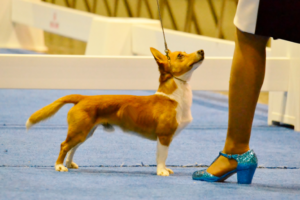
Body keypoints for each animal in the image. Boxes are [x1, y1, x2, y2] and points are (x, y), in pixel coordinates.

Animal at [26, 47, 204, 176]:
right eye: (180, 56)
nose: (201, 51)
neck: (174, 96)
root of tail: (83, 97)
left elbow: (164, 157)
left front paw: (165, 169)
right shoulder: (164, 136)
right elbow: (162, 156)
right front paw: (161, 171)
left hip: (85, 131)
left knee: (72, 147)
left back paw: (69, 163)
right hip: (79, 131)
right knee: (64, 145)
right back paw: (59, 166)